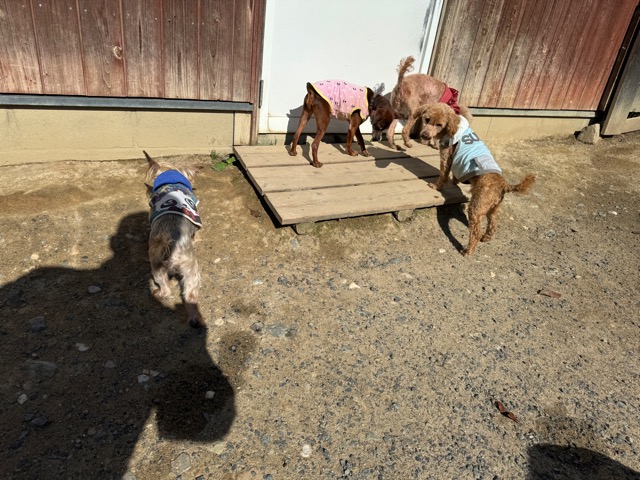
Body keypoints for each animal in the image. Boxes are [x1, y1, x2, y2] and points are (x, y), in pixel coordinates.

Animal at [144, 151, 205, 327]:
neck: (171, 179)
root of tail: (171, 245)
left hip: (158, 265)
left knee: (168, 289)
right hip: (189, 268)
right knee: (189, 295)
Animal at [417, 103, 536, 256]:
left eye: (439, 125)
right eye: (427, 119)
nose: (424, 135)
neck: (454, 128)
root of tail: (504, 185)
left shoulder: (446, 157)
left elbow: (443, 175)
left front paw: (436, 186)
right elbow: (455, 176)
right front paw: (454, 182)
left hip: (476, 207)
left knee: (475, 232)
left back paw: (468, 250)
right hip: (493, 208)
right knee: (493, 224)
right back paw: (486, 238)